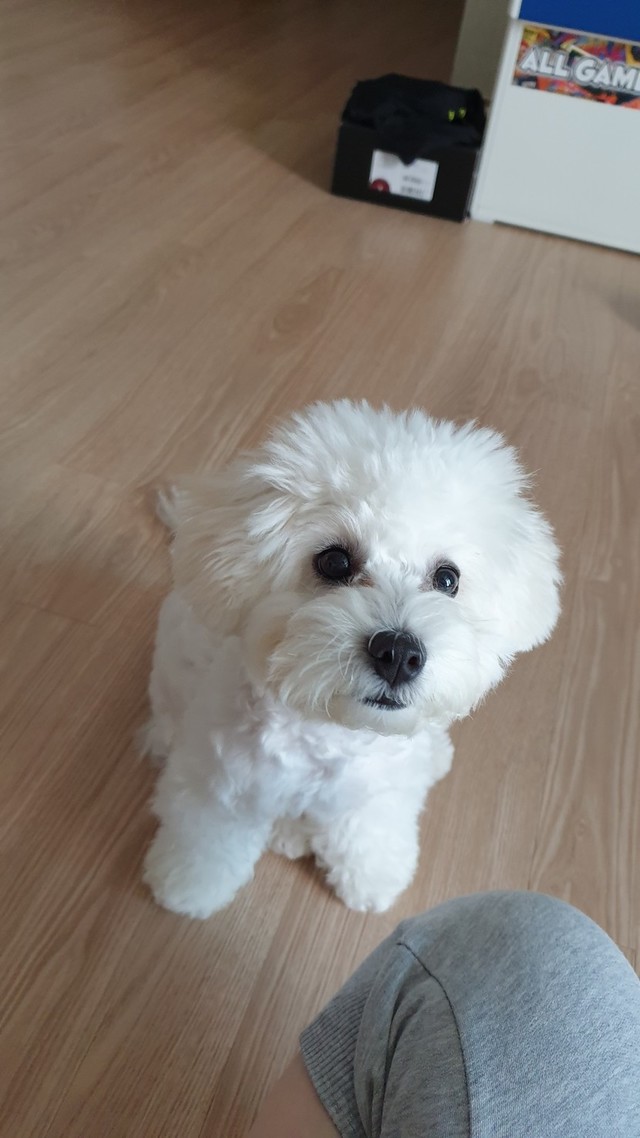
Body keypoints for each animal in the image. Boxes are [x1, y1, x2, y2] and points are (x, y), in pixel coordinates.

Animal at [142, 400, 561, 916]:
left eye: (447, 579)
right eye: (335, 562)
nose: (399, 653)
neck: (332, 733)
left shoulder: (375, 795)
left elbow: (370, 834)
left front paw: (373, 877)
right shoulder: (220, 784)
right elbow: (205, 838)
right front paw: (188, 884)